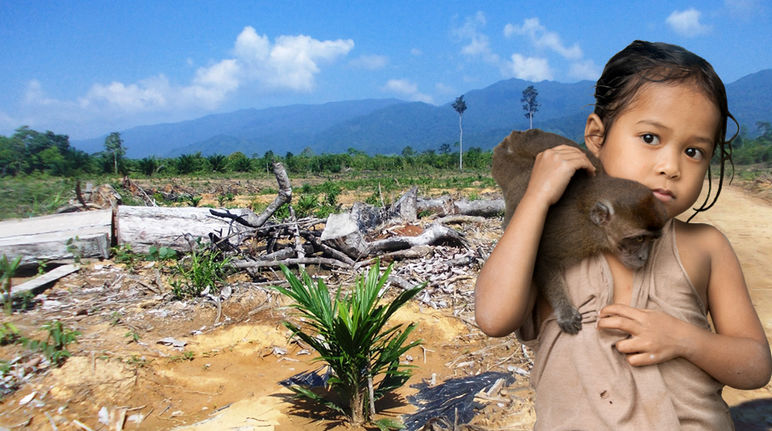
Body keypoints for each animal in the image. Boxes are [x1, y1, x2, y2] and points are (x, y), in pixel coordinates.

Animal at [494, 130, 668, 336]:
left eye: (652, 239)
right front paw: (565, 312)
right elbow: (541, 257)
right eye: (639, 238)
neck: (594, 226)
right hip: (507, 166)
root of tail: (515, 137)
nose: (643, 257)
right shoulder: (575, 234)